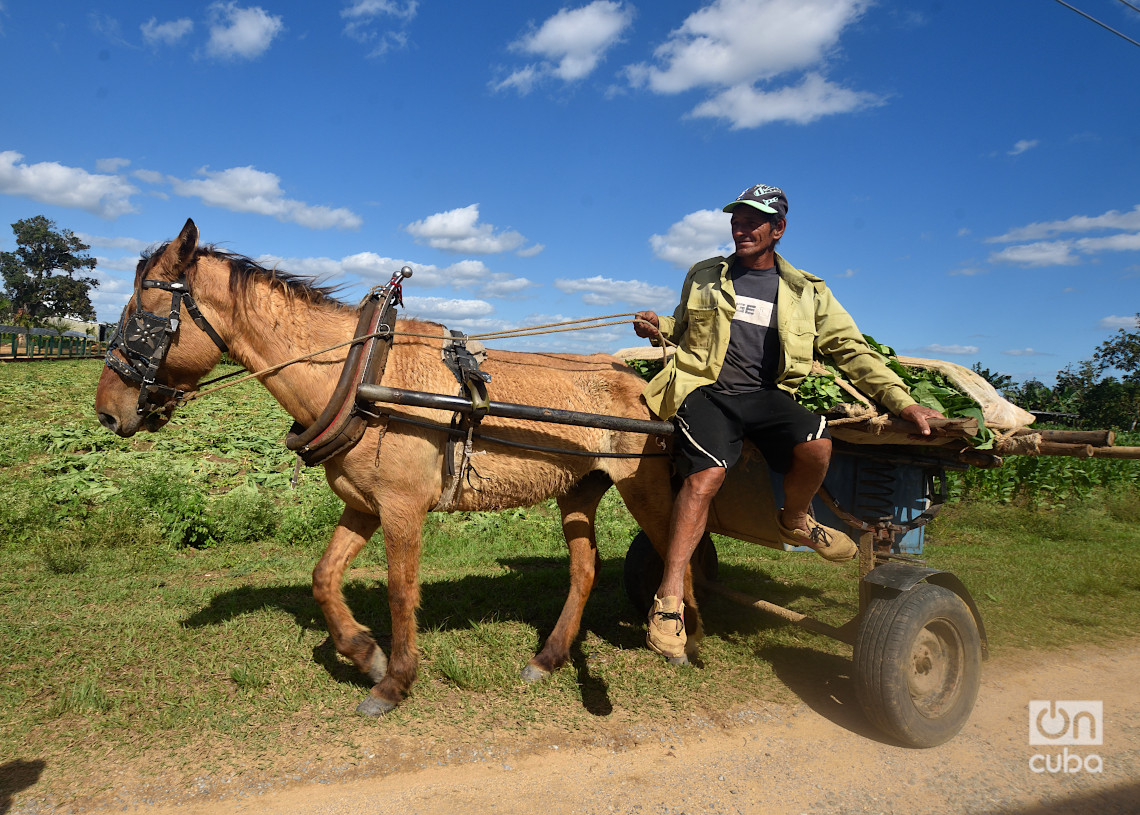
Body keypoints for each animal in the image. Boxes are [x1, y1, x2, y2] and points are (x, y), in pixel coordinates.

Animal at [95, 218, 702, 715]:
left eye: (141, 316)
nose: (105, 411)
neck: (363, 372)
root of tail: (641, 379)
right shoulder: (363, 505)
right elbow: (324, 578)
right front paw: (366, 653)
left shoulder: (402, 508)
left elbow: (400, 589)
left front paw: (395, 682)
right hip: (579, 491)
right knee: (584, 571)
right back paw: (550, 657)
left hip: (644, 486)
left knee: (680, 550)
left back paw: (683, 638)